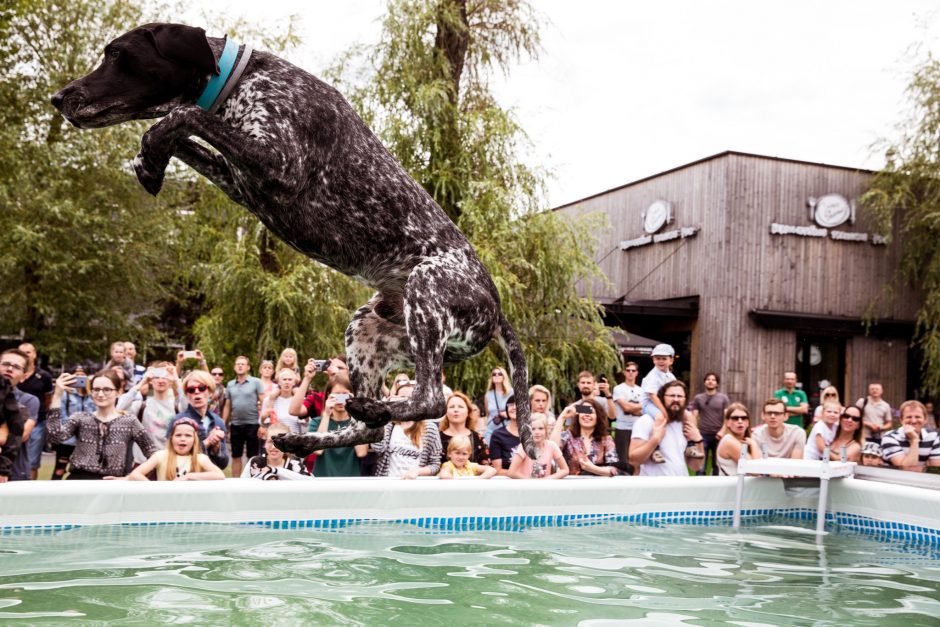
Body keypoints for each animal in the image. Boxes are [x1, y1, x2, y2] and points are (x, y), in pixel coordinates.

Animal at [53, 22, 536, 458]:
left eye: (117, 54)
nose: (58, 98)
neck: (237, 82)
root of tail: (496, 307)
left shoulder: (279, 164)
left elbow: (183, 116)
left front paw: (151, 156)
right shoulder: (239, 180)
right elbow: (181, 131)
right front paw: (146, 159)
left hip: (428, 287)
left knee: (430, 399)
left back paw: (364, 413)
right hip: (367, 332)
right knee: (372, 427)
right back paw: (305, 437)